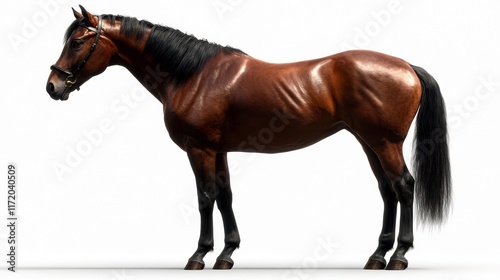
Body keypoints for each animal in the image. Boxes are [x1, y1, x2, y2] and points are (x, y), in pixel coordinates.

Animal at [47, 6, 452, 270]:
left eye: (79, 41)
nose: (53, 86)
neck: (193, 74)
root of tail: (407, 67)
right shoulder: (219, 149)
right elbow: (225, 195)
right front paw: (227, 254)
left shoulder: (200, 148)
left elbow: (205, 197)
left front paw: (199, 255)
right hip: (369, 143)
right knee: (387, 190)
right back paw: (377, 256)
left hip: (384, 143)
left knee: (404, 186)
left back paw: (399, 256)